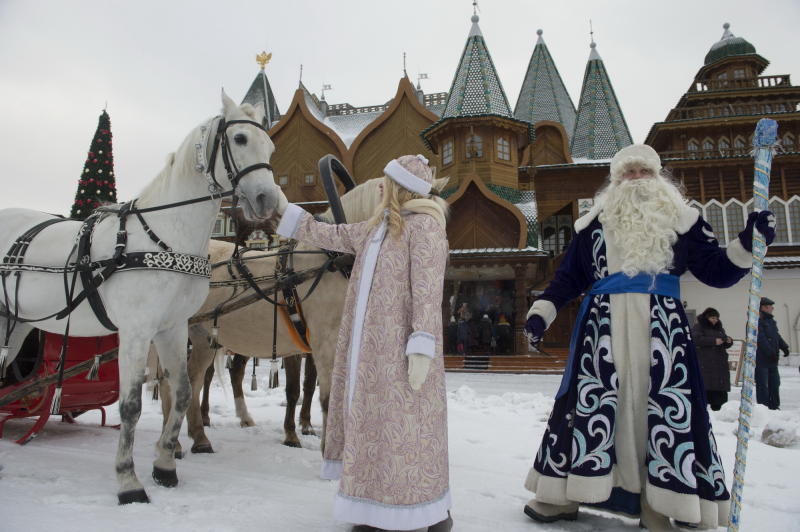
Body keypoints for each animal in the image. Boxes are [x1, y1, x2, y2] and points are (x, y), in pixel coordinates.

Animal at [0, 91, 282, 502]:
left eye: (270, 146)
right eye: (240, 139)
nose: (267, 200)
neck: (164, 237)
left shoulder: (173, 328)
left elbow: (182, 391)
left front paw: (165, 465)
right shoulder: (136, 331)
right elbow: (131, 404)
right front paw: (128, 481)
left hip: (18, 323)